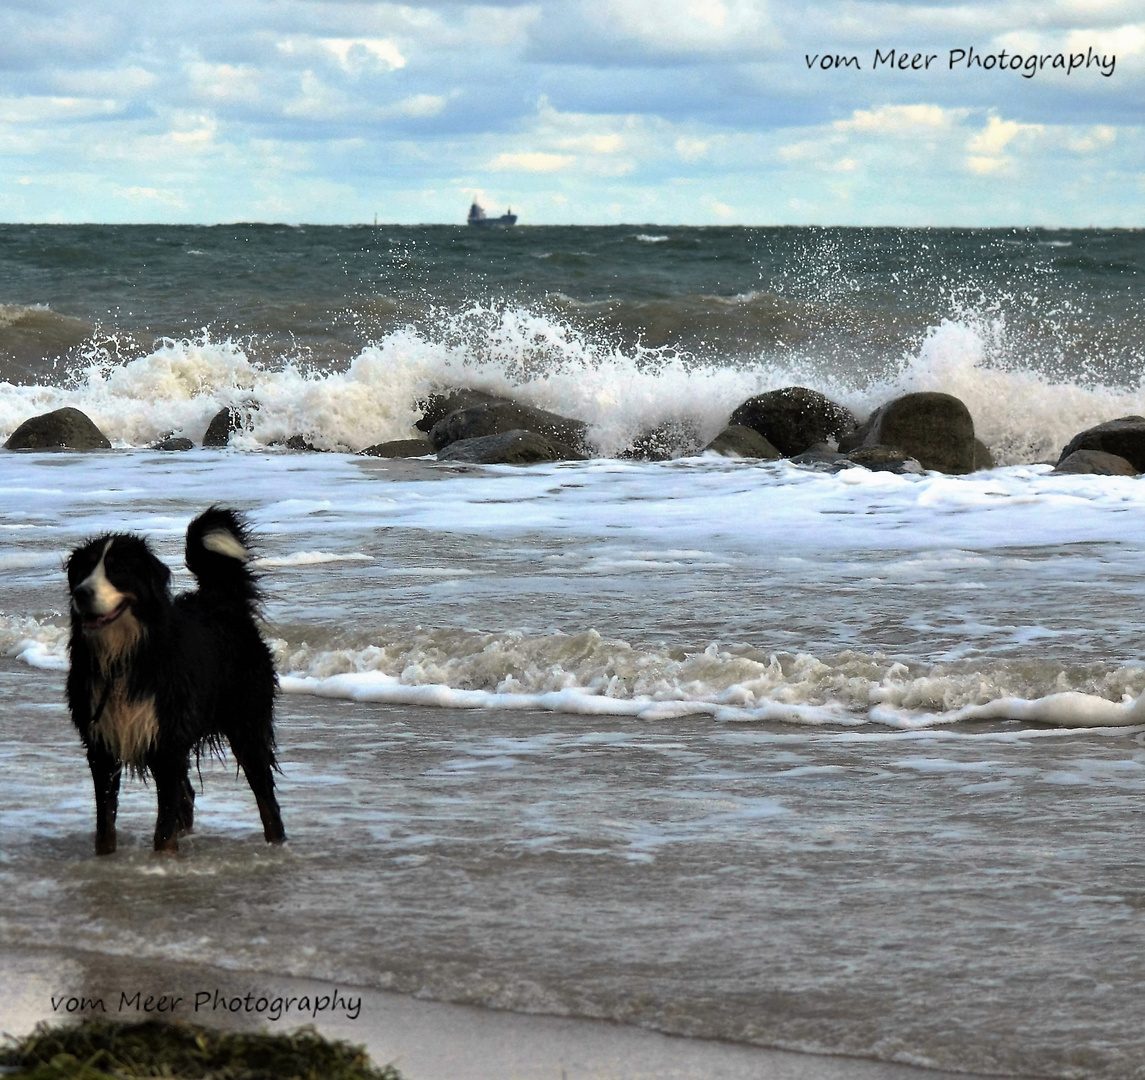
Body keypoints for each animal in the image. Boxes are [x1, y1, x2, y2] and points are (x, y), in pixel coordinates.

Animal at [65, 510, 286, 856]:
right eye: (84, 570)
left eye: (117, 570)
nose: (81, 593)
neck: (126, 655)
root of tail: (221, 600)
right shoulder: (102, 743)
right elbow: (106, 824)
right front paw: (106, 859)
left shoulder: (166, 740)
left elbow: (164, 824)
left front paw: (163, 859)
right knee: (189, 795)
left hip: (246, 724)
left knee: (266, 799)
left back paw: (277, 843)